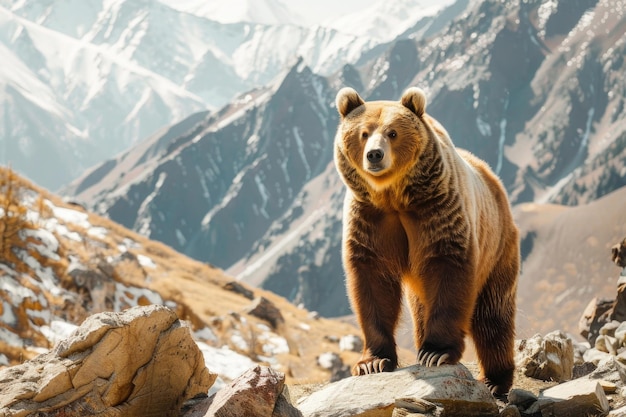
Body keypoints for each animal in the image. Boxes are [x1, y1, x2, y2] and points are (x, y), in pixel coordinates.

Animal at [334, 86, 520, 394]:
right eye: (363, 132)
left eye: (392, 132)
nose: (374, 155)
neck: (394, 196)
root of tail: (494, 179)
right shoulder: (370, 219)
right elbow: (372, 280)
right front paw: (373, 362)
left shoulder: (437, 211)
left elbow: (449, 269)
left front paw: (436, 352)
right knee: (422, 308)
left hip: (498, 245)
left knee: (492, 316)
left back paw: (495, 381)